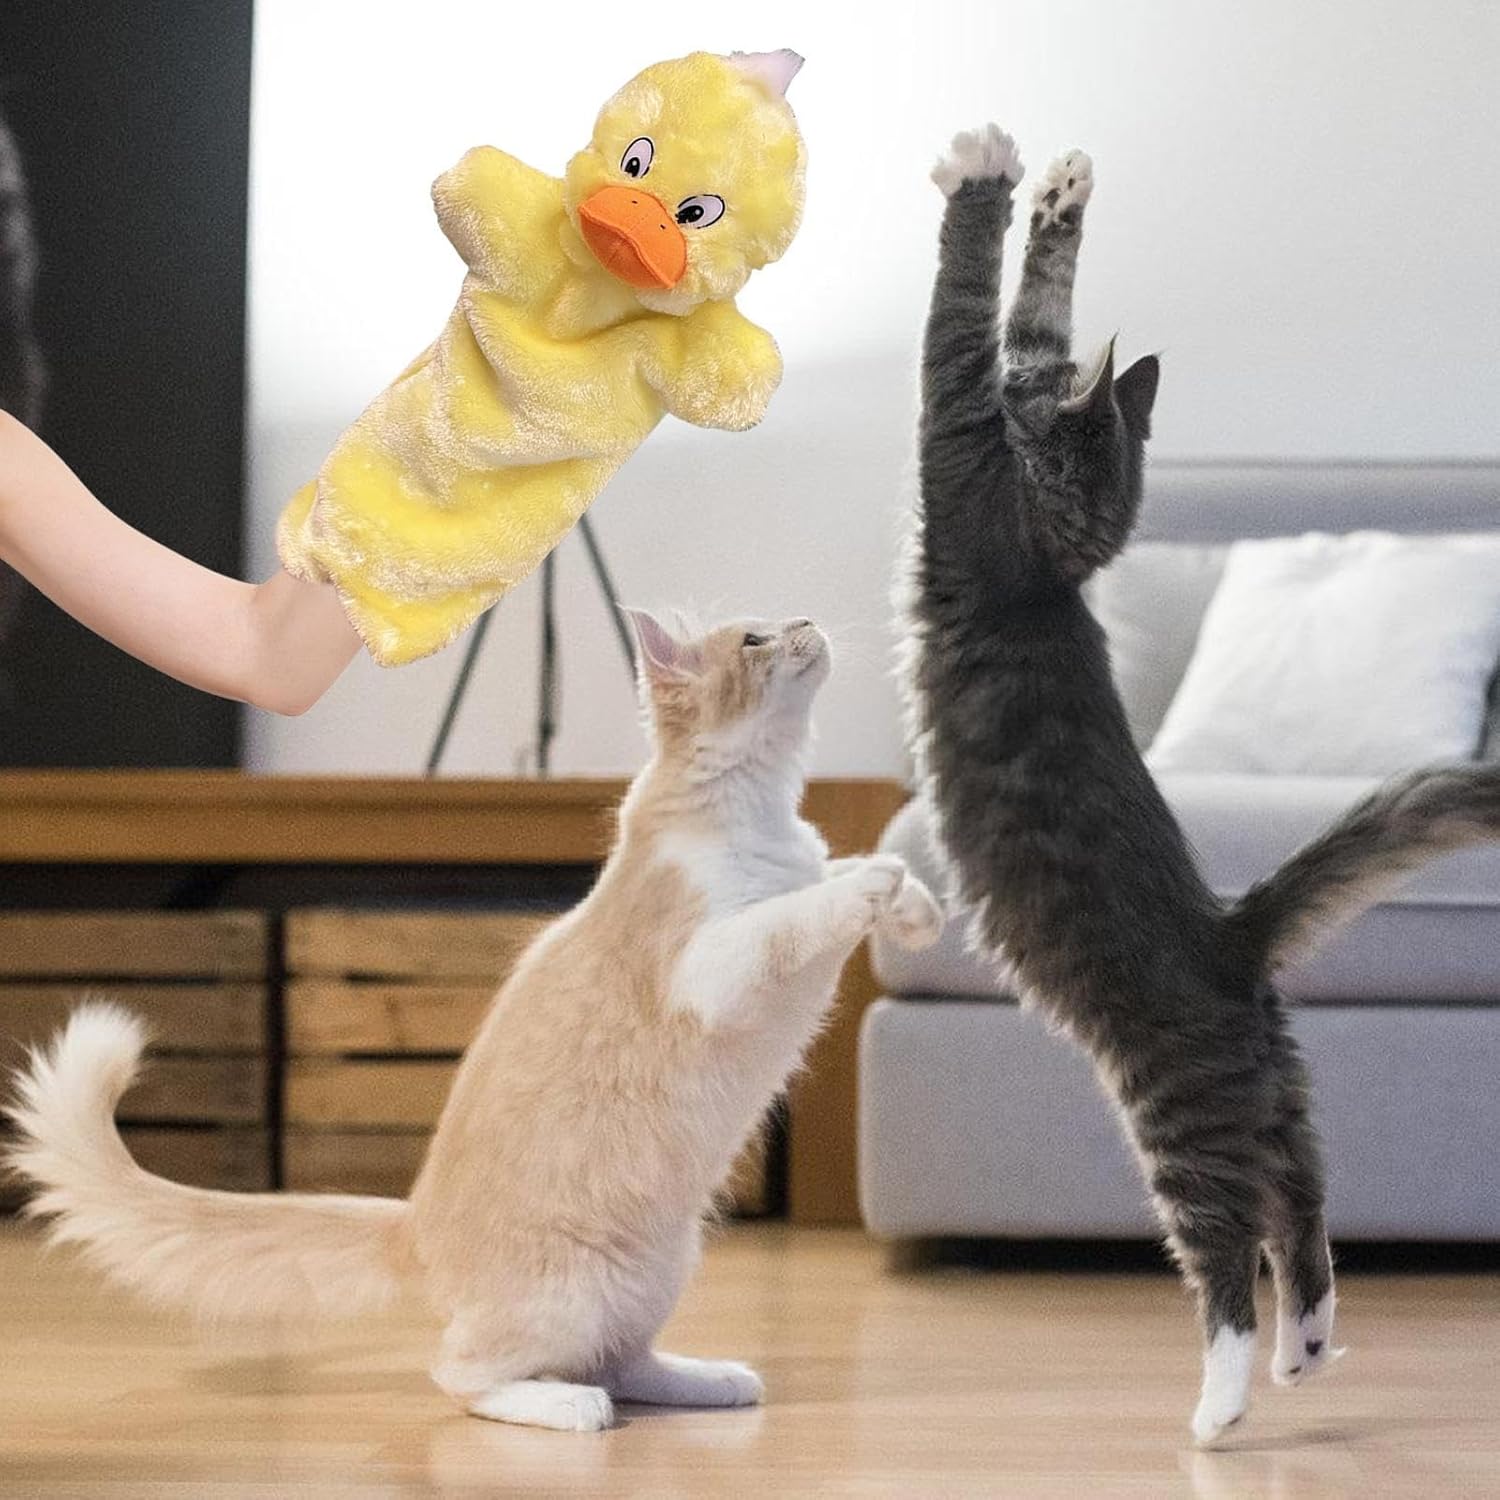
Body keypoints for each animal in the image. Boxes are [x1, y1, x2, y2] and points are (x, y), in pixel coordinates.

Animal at [6, 608, 943, 1432]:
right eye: (755, 637)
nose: (808, 621)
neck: (760, 813)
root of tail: (413, 1223)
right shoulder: (710, 965)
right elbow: (802, 909)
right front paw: (885, 882)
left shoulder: (790, 883)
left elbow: (832, 872)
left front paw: (917, 907)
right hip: (571, 1291)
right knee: (467, 1375)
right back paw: (570, 1410)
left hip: (656, 1272)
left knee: (620, 1360)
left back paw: (708, 1380)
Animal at [904, 124, 1500, 1443]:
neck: (1058, 565)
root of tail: (1233, 935)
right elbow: (1036, 313)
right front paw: (1063, 190)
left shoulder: (961, 460)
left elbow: (963, 315)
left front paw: (986, 174)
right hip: (1281, 1095)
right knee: (1311, 1210)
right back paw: (1305, 1354)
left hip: (1179, 1118)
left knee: (1230, 1248)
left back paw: (1221, 1407)